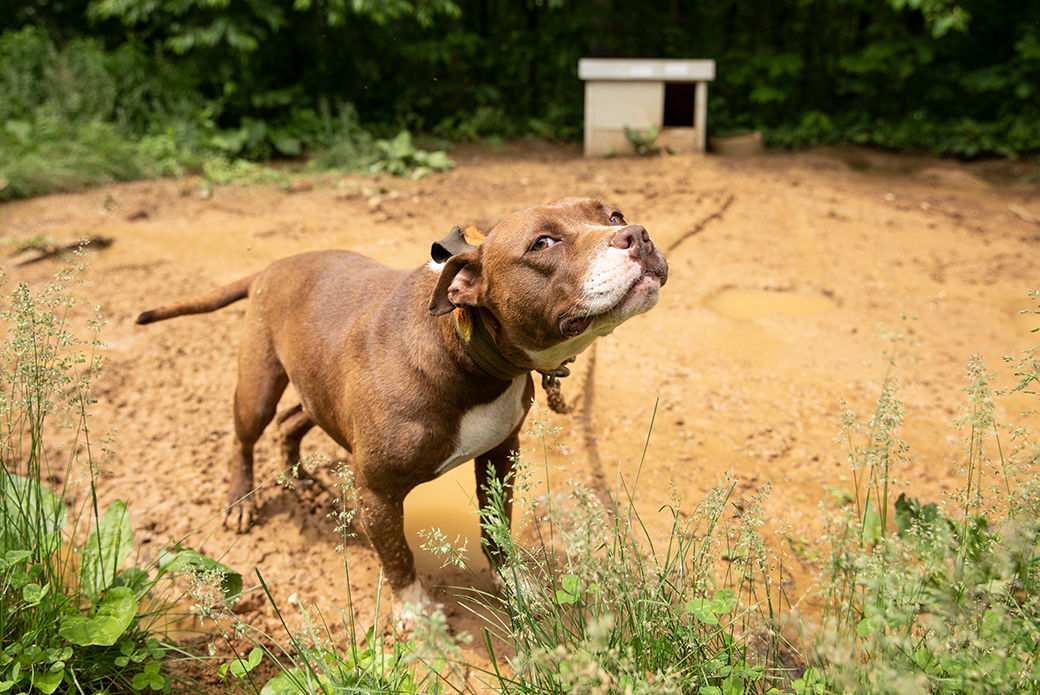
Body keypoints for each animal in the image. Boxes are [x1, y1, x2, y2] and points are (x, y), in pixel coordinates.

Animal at [136, 196, 665, 624]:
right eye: (543, 242)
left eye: (614, 215)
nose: (637, 234)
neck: (466, 350)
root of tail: (273, 266)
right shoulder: (378, 493)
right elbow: (397, 554)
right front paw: (415, 613)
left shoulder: (499, 456)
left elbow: (496, 530)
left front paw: (515, 585)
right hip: (258, 386)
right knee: (244, 438)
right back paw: (240, 503)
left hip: (318, 389)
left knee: (291, 421)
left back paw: (299, 477)